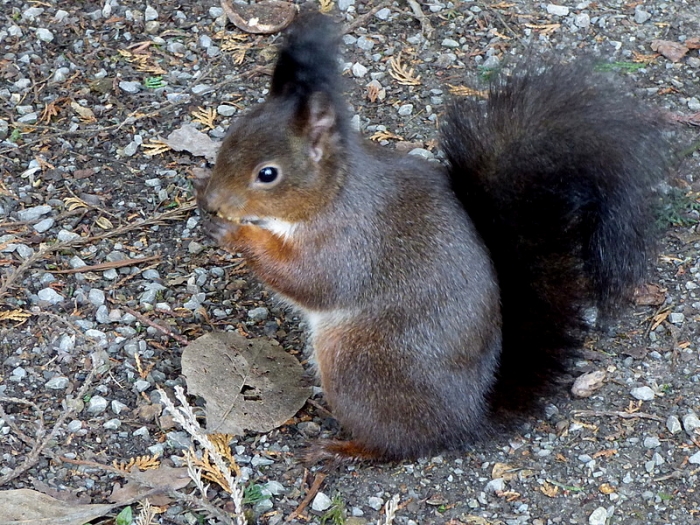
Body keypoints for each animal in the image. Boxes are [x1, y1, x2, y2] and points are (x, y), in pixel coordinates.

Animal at [195, 11, 669, 462]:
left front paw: (237, 235)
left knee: (397, 444)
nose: (213, 202)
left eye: (267, 174)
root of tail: (465, 419)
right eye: (230, 138)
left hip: (358, 366)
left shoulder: (349, 242)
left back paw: (344, 450)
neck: (333, 192)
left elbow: (310, 280)